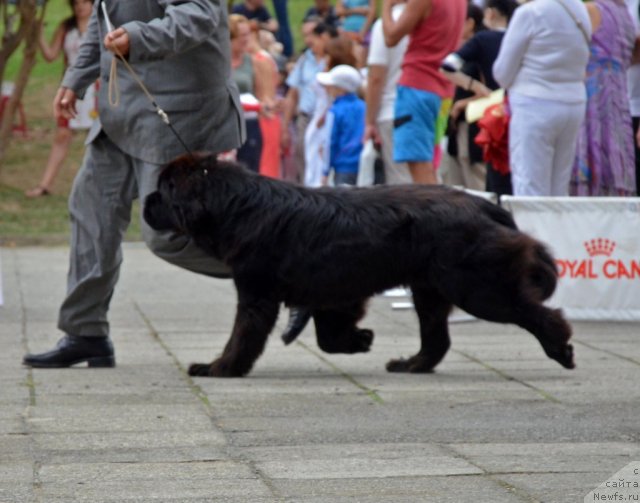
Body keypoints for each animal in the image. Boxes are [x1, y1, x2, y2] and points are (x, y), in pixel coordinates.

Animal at [145, 154, 576, 378]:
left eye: (165, 190)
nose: (147, 201)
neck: (236, 205)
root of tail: (485, 205)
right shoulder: (334, 291)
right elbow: (328, 336)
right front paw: (360, 340)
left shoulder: (256, 293)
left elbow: (243, 336)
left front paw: (220, 367)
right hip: (430, 290)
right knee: (437, 338)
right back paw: (411, 364)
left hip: (476, 287)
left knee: (536, 312)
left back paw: (560, 349)